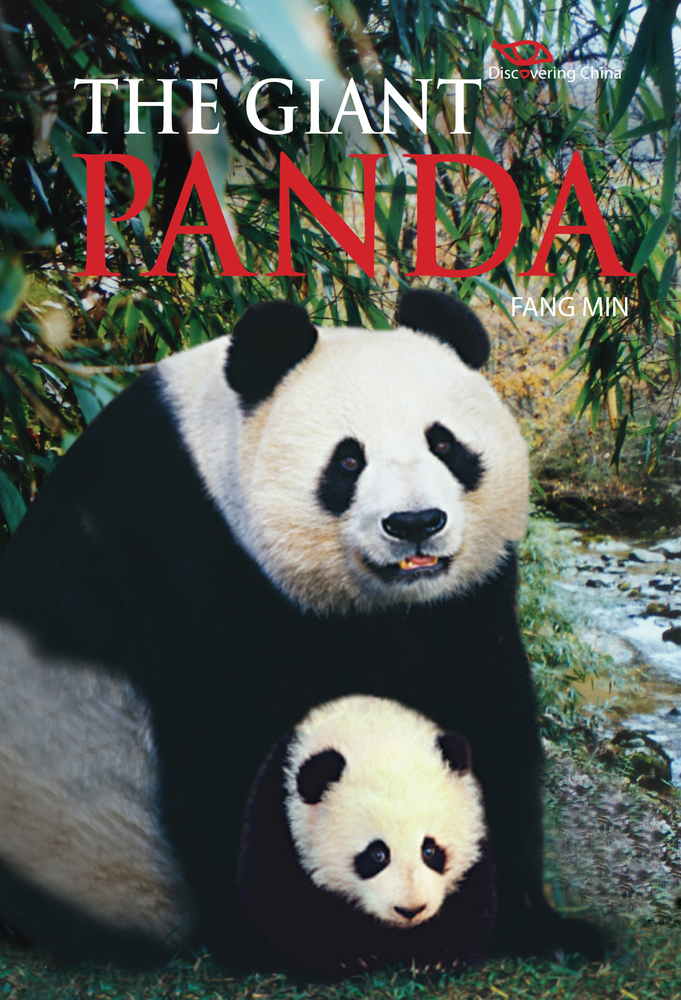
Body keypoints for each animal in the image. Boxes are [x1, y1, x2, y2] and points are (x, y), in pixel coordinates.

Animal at [238, 695, 496, 976]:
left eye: (429, 850)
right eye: (377, 854)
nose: (410, 909)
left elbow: (472, 898)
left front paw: (440, 958)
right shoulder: (278, 816)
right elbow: (280, 898)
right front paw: (344, 956)